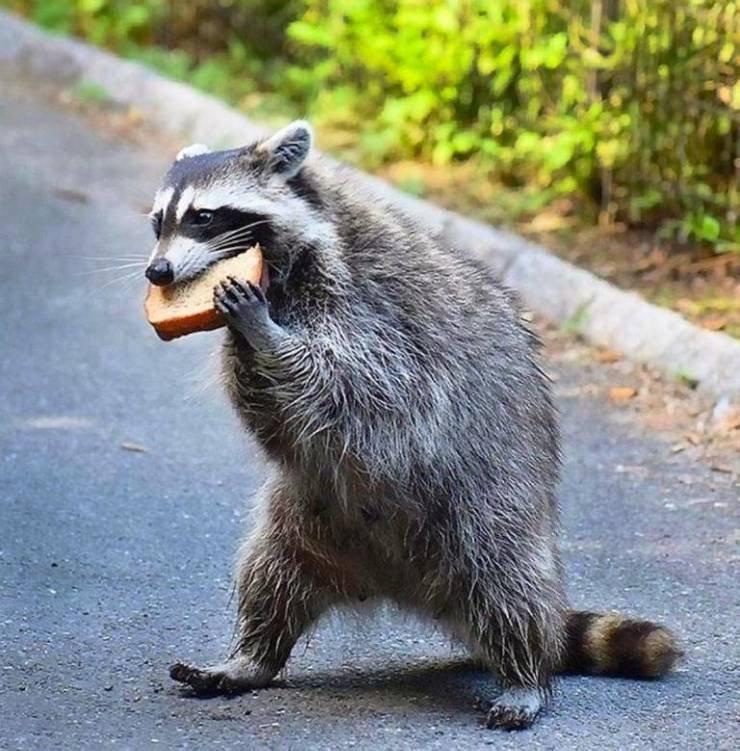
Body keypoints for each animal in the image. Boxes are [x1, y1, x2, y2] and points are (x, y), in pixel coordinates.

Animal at [145, 121, 681, 730]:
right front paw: (239, 341)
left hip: (487, 501)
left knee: (507, 578)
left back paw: (524, 674)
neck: (288, 265)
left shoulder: (372, 304)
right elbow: (280, 422)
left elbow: (367, 388)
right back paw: (252, 657)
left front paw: (264, 334)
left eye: (204, 217)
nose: (157, 272)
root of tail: (401, 585)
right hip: (308, 516)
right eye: (159, 221)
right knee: (271, 573)